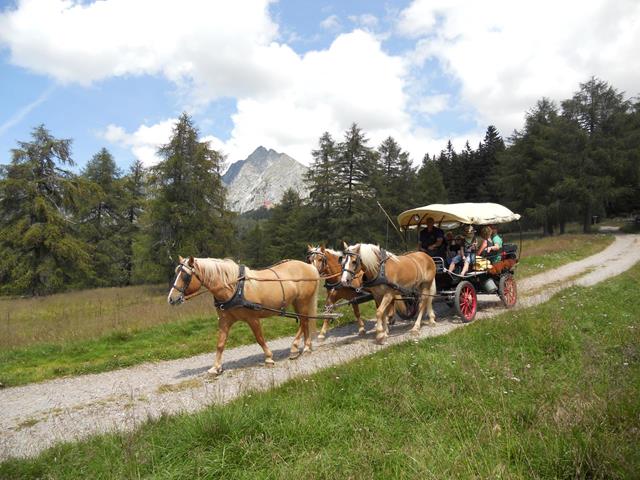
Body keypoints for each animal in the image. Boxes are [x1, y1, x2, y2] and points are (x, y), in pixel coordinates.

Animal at [168, 255, 320, 376]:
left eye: (185, 276)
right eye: (176, 274)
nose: (171, 299)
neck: (234, 287)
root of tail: (309, 267)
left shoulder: (252, 318)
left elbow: (259, 338)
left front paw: (269, 358)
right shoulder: (224, 320)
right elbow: (220, 343)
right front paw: (215, 367)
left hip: (303, 301)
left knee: (304, 322)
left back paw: (301, 347)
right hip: (297, 302)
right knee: (304, 322)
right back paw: (301, 347)